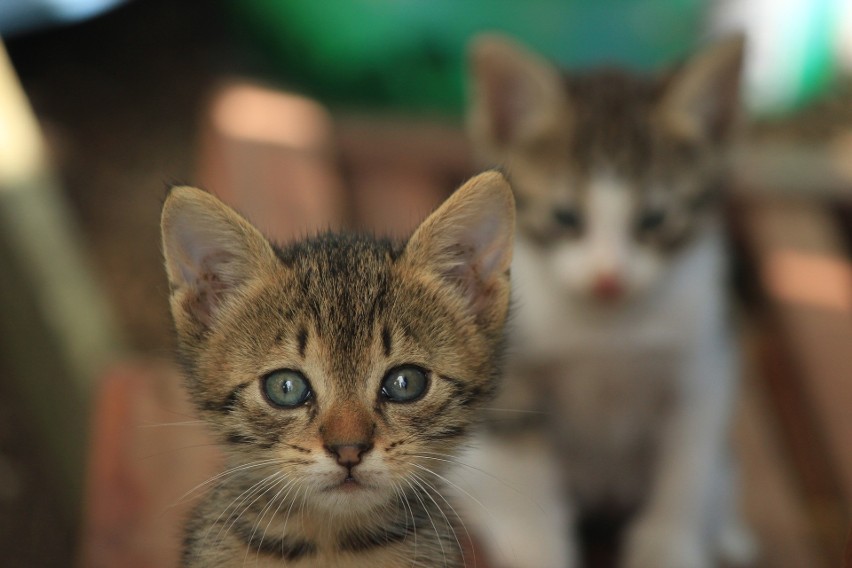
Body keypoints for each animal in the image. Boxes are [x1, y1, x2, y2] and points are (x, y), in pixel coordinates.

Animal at [456, 34, 756, 568]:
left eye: (655, 219)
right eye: (566, 217)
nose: (609, 278)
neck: (609, 328)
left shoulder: (705, 364)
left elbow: (688, 468)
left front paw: (668, 546)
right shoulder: (515, 374)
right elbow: (523, 468)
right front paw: (539, 546)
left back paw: (727, 530)